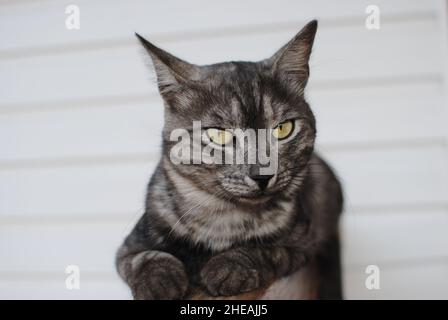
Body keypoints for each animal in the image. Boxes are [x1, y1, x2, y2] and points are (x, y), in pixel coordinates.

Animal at [115, 20, 344, 300]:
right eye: (219, 135)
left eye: (283, 129)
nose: (262, 175)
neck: (224, 219)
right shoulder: (130, 246)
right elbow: (144, 258)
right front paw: (160, 281)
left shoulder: (302, 242)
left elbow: (267, 250)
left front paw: (229, 268)